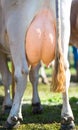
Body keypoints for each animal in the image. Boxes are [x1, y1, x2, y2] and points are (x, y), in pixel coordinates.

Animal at [0, 0, 75, 129]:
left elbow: (6, 77)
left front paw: (7, 105)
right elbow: (34, 75)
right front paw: (36, 104)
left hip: (16, 30)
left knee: (21, 73)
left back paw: (13, 118)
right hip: (64, 30)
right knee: (65, 72)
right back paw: (67, 119)